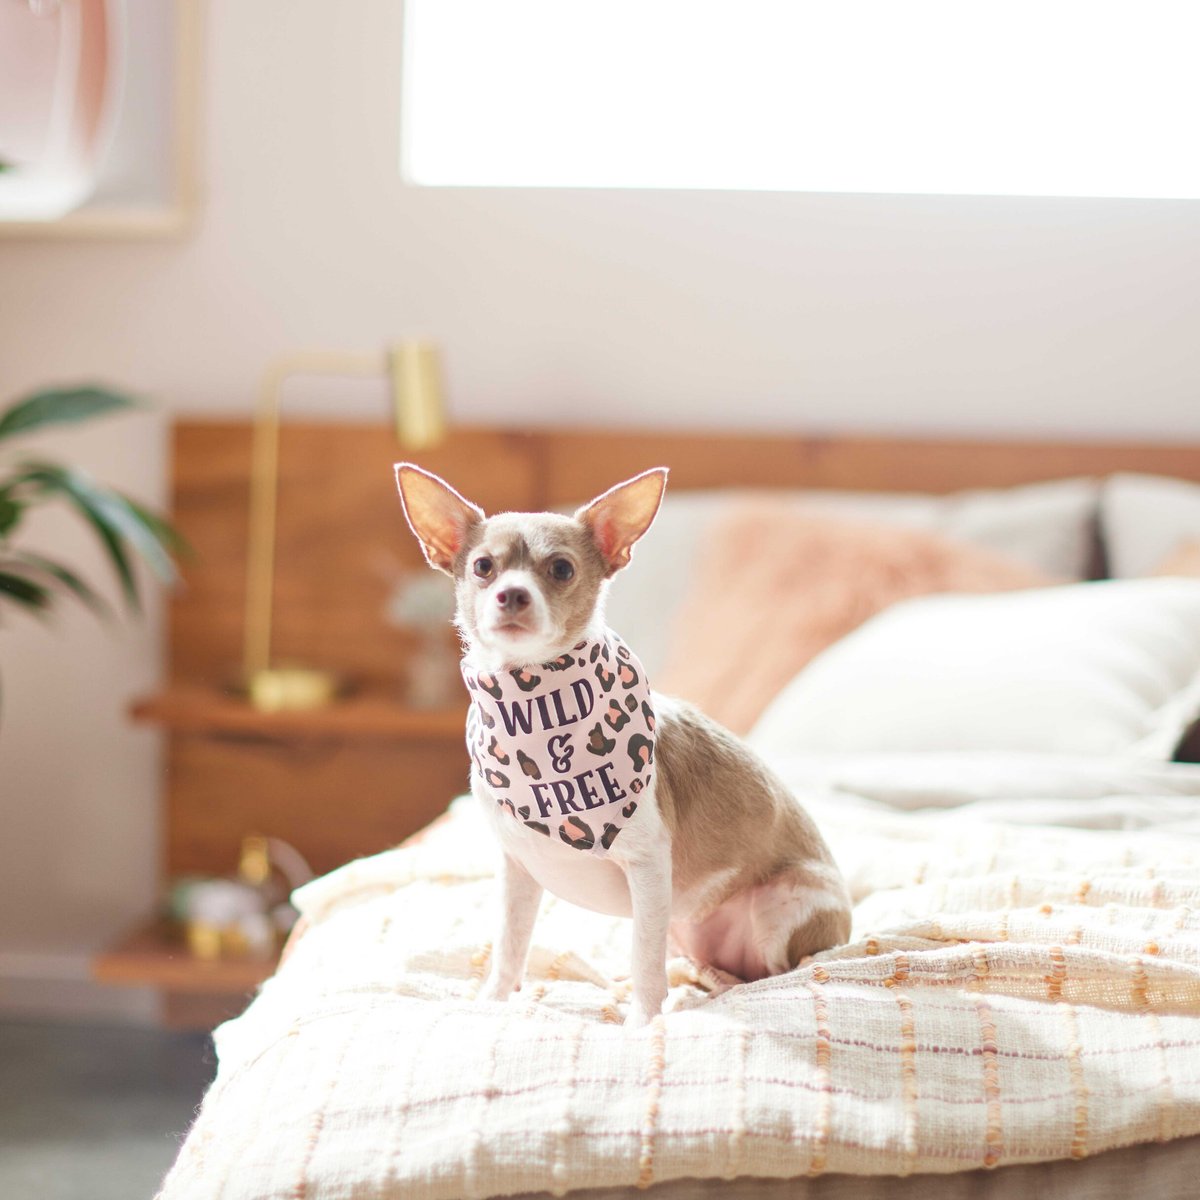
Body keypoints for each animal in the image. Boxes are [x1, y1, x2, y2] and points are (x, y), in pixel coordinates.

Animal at [398, 463, 849, 1027]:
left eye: (561, 569)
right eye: (483, 566)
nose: (511, 594)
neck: (534, 702)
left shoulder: (649, 869)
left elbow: (643, 953)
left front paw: (644, 1020)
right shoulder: (518, 870)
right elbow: (510, 944)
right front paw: (493, 1003)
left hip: (780, 912)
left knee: (770, 973)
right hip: (687, 926)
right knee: (705, 967)